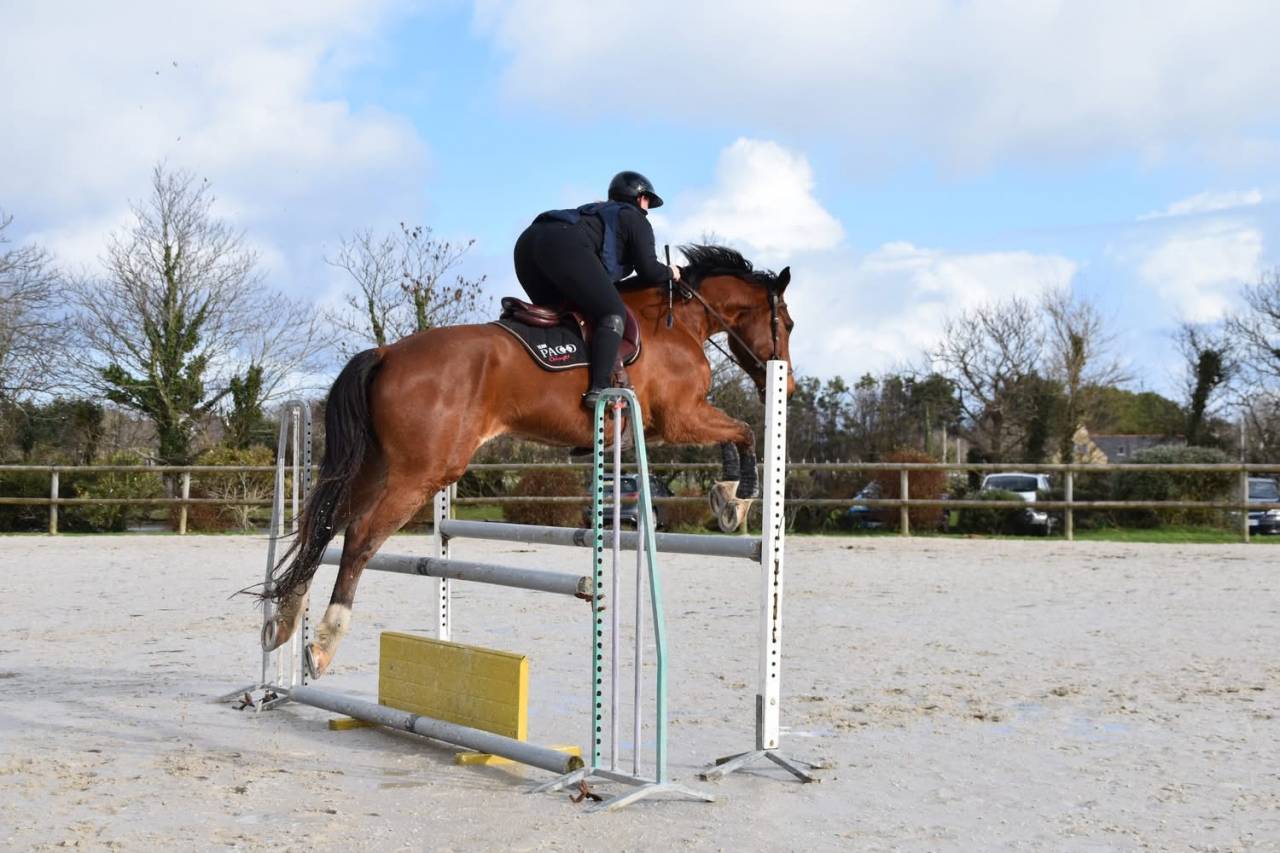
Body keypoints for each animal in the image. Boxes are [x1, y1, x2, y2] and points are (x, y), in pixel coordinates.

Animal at [263, 244, 795, 677]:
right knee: (359, 539)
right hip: (421, 472)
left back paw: (284, 621)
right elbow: (745, 432)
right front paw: (736, 500)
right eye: (787, 324)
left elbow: (735, 435)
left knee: (322, 525)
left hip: (375, 467)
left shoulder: (676, 422)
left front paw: (727, 497)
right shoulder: (680, 418)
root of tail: (387, 352)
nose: (786, 387)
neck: (678, 321)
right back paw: (324, 644)